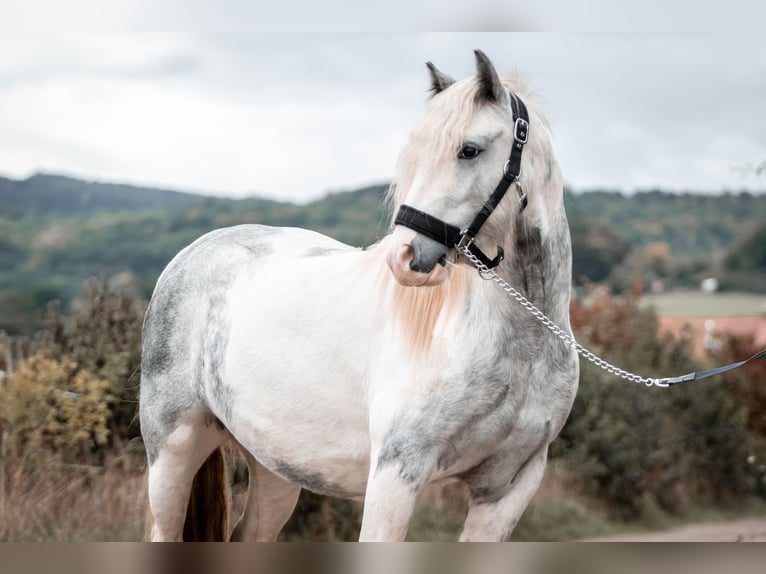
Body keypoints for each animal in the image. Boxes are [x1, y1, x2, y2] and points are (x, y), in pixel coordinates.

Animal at [141, 50, 580, 544]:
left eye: (469, 149)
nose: (404, 257)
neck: (518, 345)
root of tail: (194, 252)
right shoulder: (396, 473)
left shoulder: (507, 488)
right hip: (173, 451)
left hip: (275, 467)